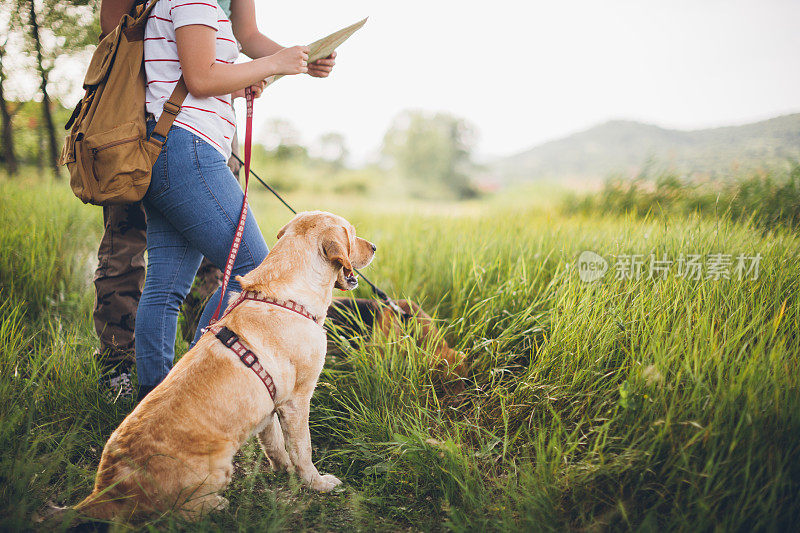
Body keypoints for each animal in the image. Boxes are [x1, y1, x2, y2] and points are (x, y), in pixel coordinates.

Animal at [75, 211, 376, 520]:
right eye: (352, 234)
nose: (375, 247)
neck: (285, 298)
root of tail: (106, 490)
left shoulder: (270, 406)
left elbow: (275, 445)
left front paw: (283, 470)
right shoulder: (297, 401)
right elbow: (303, 450)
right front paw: (318, 483)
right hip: (218, 468)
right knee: (178, 513)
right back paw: (217, 504)